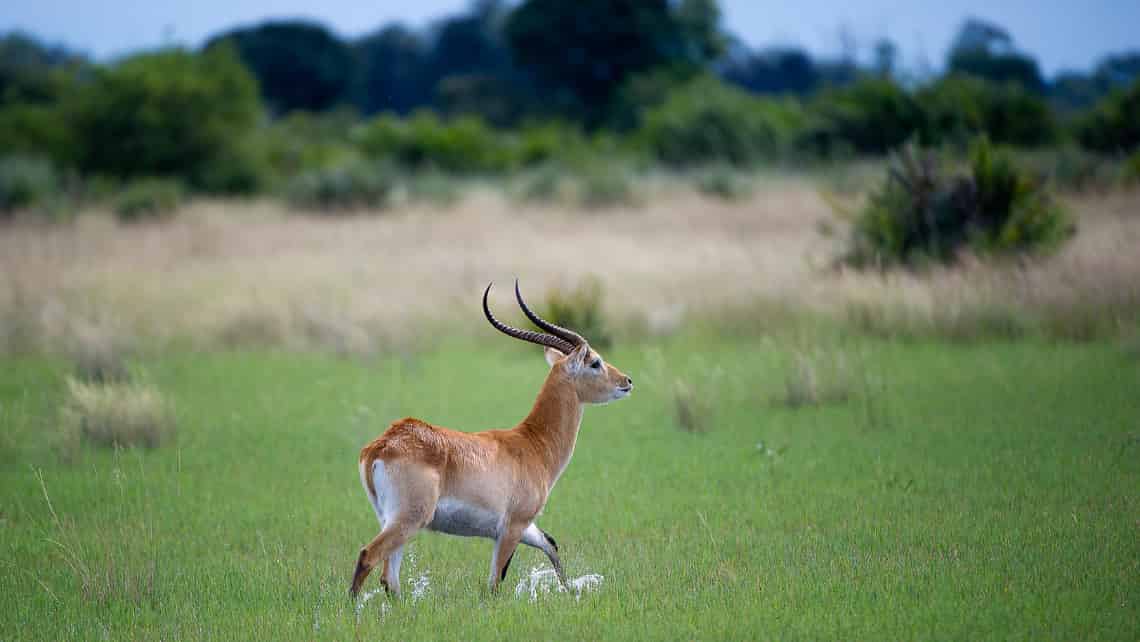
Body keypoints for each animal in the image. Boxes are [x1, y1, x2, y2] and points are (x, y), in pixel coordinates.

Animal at [346, 281, 633, 597]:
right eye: (595, 362)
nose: (627, 381)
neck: (532, 443)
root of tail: (382, 445)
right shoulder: (512, 525)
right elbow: (495, 582)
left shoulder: (523, 527)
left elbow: (551, 545)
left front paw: (570, 590)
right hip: (409, 518)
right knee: (368, 556)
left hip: (392, 519)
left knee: (390, 579)